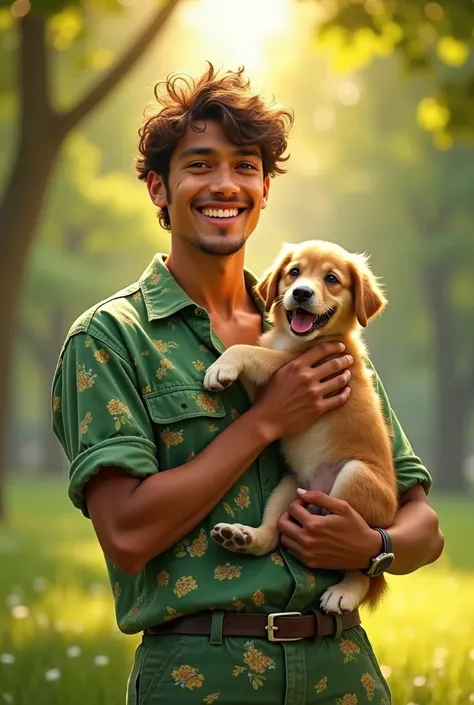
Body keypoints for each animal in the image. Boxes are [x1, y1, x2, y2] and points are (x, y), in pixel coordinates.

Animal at [202, 239, 398, 612]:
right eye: (294, 272)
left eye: (332, 279)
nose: (302, 293)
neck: (294, 340)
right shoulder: (270, 384)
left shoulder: (292, 364)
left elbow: (247, 350)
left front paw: (221, 365)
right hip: (291, 485)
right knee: (271, 535)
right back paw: (243, 536)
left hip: (354, 478)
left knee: (358, 561)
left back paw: (345, 592)